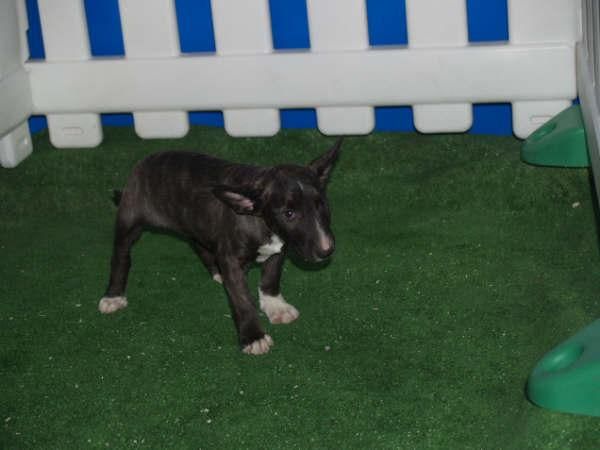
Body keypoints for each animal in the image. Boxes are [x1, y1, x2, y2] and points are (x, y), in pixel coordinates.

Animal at [101, 140, 340, 356]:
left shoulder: (278, 251)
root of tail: (145, 162)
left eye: (322, 204)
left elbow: (270, 278)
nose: (326, 250)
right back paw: (113, 296)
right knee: (120, 256)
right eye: (289, 214)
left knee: (199, 245)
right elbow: (242, 299)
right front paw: (253, 337)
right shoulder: (231, 260)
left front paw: (275, 306)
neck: (259, 219)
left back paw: (216, 272)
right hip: (129, 220)